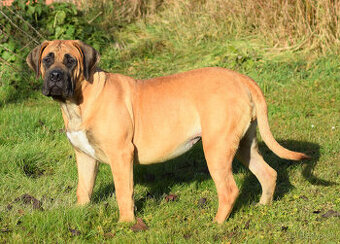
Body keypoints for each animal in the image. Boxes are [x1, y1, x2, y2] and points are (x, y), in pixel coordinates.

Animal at [25, 41, 308, 224]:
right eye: (47, 59)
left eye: (71, 60)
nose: (55, 76)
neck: (78, 102)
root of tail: (242, 78)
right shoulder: (84, 156)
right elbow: (83, 189)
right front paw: (80, 213)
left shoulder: (121, 155)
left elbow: (123, 193)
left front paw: (126, 225)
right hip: (243, 145)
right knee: (267, 173)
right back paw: (263, 207)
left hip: (216, 147)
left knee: (229, 190)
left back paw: (215, 225)